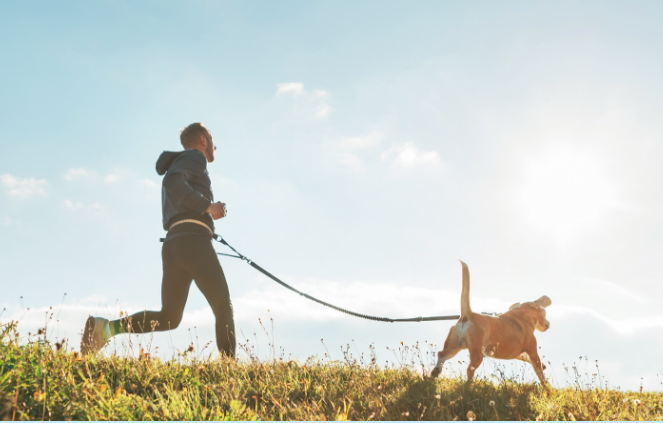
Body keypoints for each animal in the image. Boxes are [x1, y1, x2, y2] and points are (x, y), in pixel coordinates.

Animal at [430, 262, 548, 390]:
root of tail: (468, 315)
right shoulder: (532, 351)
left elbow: (527, 359)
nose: (548, 324)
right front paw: (548, 389)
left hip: (453, 346)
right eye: (545, 312)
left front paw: (544, 366)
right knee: (470, 369)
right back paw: (469, 387)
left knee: (441, 355)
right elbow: (540, 373)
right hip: (477, 353)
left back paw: (434, 374)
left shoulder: (518, 354)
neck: (522, 314)